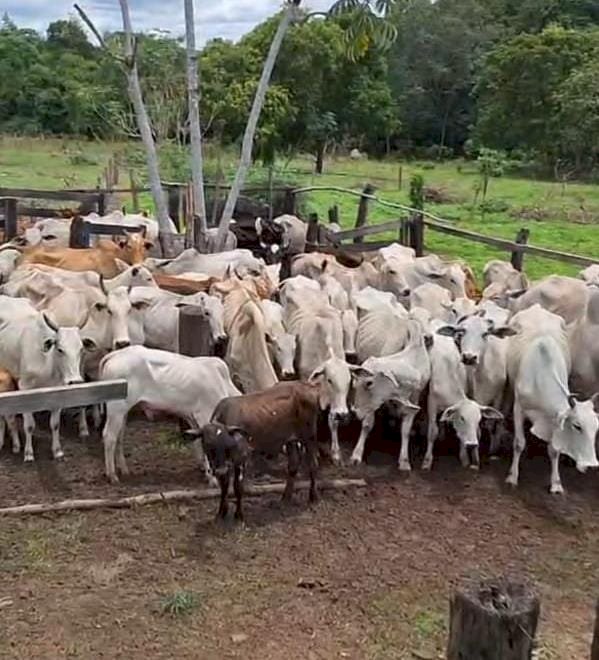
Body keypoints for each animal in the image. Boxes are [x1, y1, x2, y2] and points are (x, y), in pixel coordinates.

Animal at [99, 348, 240, 482]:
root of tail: (117, 354)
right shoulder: (205, 414)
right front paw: (212, 478)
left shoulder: (193, 418)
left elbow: (198, 442)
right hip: (116, 408)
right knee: (109, 436)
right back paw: (112, 475)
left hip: (123, 412)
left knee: (119, 436)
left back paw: (124, 470)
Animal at [506, 304, 599, 490]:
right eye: (577, 426)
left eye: (596, 428)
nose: (592, 465)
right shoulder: (518, 407)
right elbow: (519, 443)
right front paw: (512, 476)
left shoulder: (555, 419)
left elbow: (555, 449)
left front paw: (556, 483)